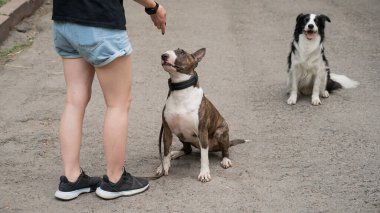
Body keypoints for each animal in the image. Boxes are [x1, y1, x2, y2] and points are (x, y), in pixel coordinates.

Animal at [157, 47, 246, 181]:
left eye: (181, 52)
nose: (164, 56)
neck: (181, 92)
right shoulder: (167, 130)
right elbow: (166, 152)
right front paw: (164, 167)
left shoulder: (202, 131)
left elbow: (204, 157)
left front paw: (204, 173)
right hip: (180, 134)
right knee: (187, 149)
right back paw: (175, 153)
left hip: (221, 132)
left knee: (225, 149)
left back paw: (226, 160)